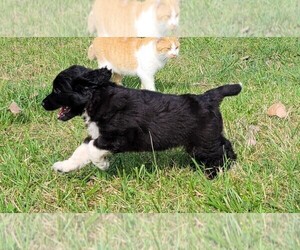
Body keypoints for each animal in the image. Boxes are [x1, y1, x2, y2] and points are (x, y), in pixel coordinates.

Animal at [42, 64, 243, 178]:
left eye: (58, 90)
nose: (42, 103)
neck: (96, 98)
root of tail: (208, 97)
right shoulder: (96, 135)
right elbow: (82, 150)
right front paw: (64, 166)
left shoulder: (119, 137)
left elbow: (92, 149)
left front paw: (102, 164)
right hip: (208, 137)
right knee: (225, 145)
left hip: (203, 141)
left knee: (217, 154)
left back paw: (215, 175)